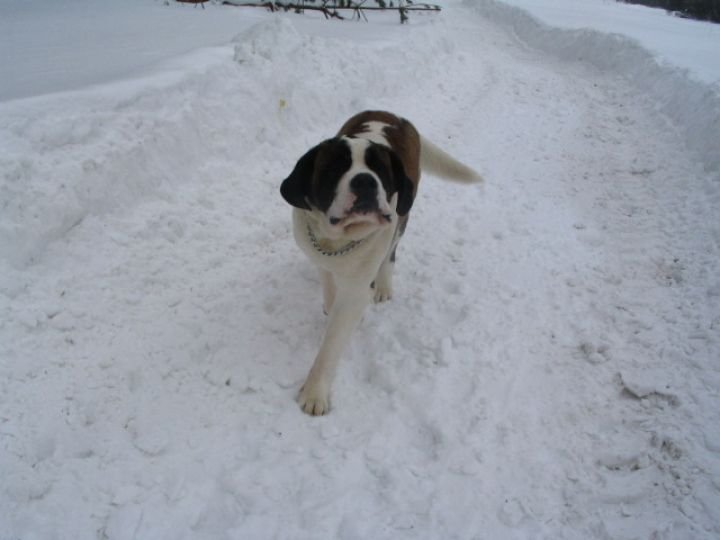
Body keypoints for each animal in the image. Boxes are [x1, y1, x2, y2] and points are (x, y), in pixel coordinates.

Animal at [280, 110, 482, 415]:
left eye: (380, 170)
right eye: (336, 167)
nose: (365, 180)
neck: (338, 242)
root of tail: (394, 116)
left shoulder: (356, 288)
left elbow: (333, 340)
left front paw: (315, 392)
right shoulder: (316, 252)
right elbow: (327, 283)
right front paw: (330, 300)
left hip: (402, 215)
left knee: (392, 251)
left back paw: (384, 285)